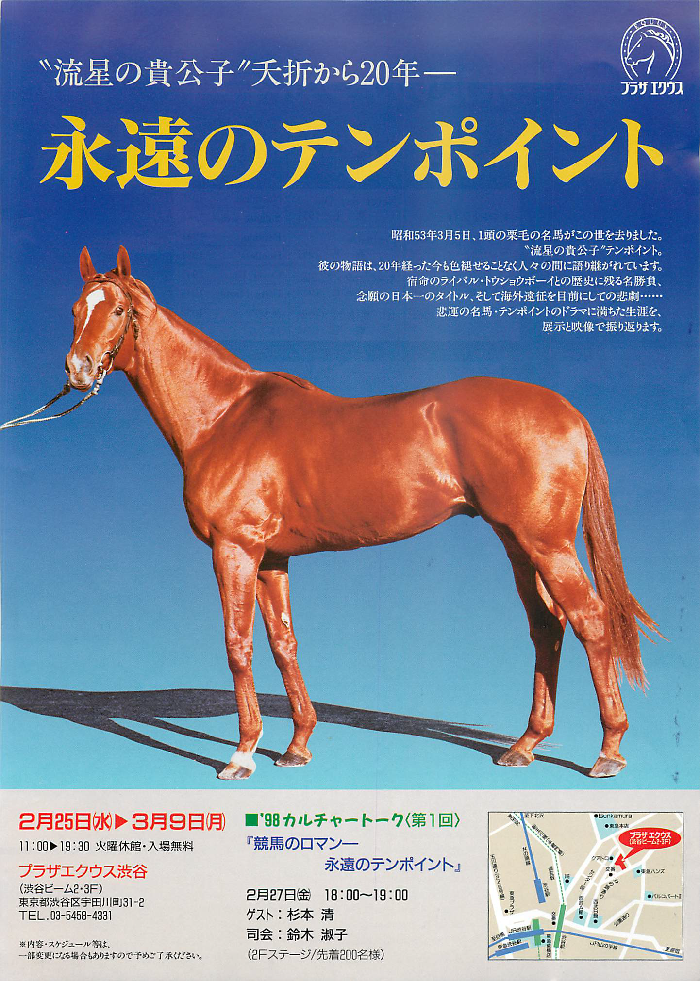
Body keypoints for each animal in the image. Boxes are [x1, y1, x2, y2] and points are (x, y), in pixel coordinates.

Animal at [64, 246, 660, 780]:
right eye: (74, 309)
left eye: (117, 310)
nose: (77, 369)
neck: (225, 417)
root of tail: (568, 410)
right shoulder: (272, 557)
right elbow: (283, 643)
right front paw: (297, 746)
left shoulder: (236, 548)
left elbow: (239, 645)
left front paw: (242, 754)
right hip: (516, 541)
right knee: (547, 626)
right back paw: (525, 745)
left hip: (547, 543)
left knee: (589, 620)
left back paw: (607, 751)